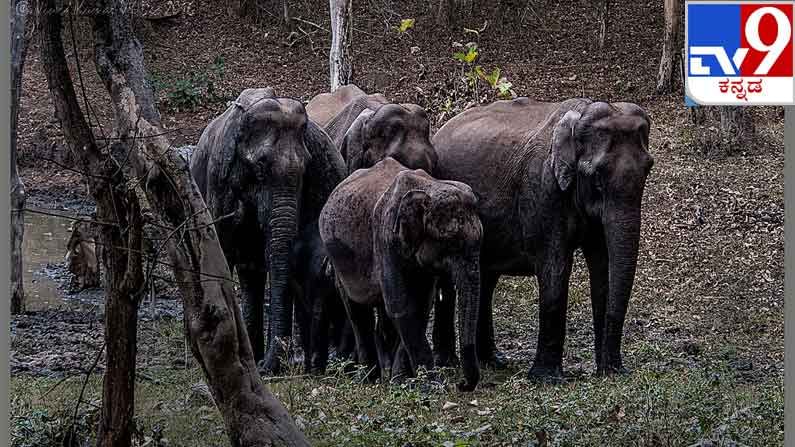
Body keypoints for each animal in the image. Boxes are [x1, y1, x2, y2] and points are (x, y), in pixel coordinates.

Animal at [191, 87, 346, 374]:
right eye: (260, 167)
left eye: (306, 167)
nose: (269, 367)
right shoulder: (219, 182)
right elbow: (223, 250)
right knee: (249, 270)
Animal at [318, 158, 482, 392]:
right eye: (452, 244)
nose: (461, 384)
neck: (429, 188)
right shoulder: (386, 238)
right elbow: (401, 308)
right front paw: (431, 386)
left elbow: (420, 306)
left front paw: (403, 382)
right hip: (338, 259)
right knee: (356, 310)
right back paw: (369, 379)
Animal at [432, 98, 656, 382]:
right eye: (597, 176)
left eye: (648, 169)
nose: (613, 371)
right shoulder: (543, 190)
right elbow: (555, 267)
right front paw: (547, 378)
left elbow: (602, 264)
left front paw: (610, 371)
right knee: (449, 279)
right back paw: (447, 362)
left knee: (486, 278)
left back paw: (493, 361)